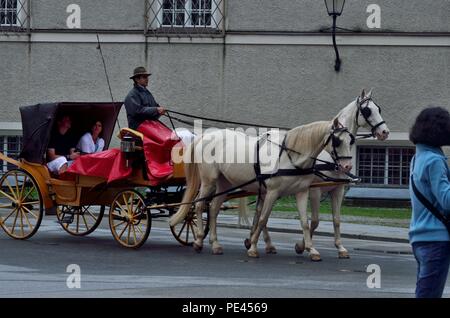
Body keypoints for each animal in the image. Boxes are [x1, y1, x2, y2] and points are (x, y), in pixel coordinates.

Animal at [170, 118, 356, 258]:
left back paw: (215, 244)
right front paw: (252, 247)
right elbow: (262, 218)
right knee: (200, 205)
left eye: (351, 141)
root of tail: (205, 136)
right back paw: (199, 240)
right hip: (209, 181)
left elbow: (305, 222)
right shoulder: (273, 192)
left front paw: (311, 249)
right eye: (337, 141)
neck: (290, 156)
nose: (347, 167)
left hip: (225, 182)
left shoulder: (302, 192)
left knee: (214, 208)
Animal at [243, 89, 390, 260]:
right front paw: (302, 246)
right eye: (367, 110)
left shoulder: (337, 190)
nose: (385, 132)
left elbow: (336, 220)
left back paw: (257, 240)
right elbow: (314, 221)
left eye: (379, 109)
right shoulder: (315, 190)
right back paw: (261, 242)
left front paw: (340, 247)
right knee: (262, 213)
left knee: (260, 212)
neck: (330, 157)